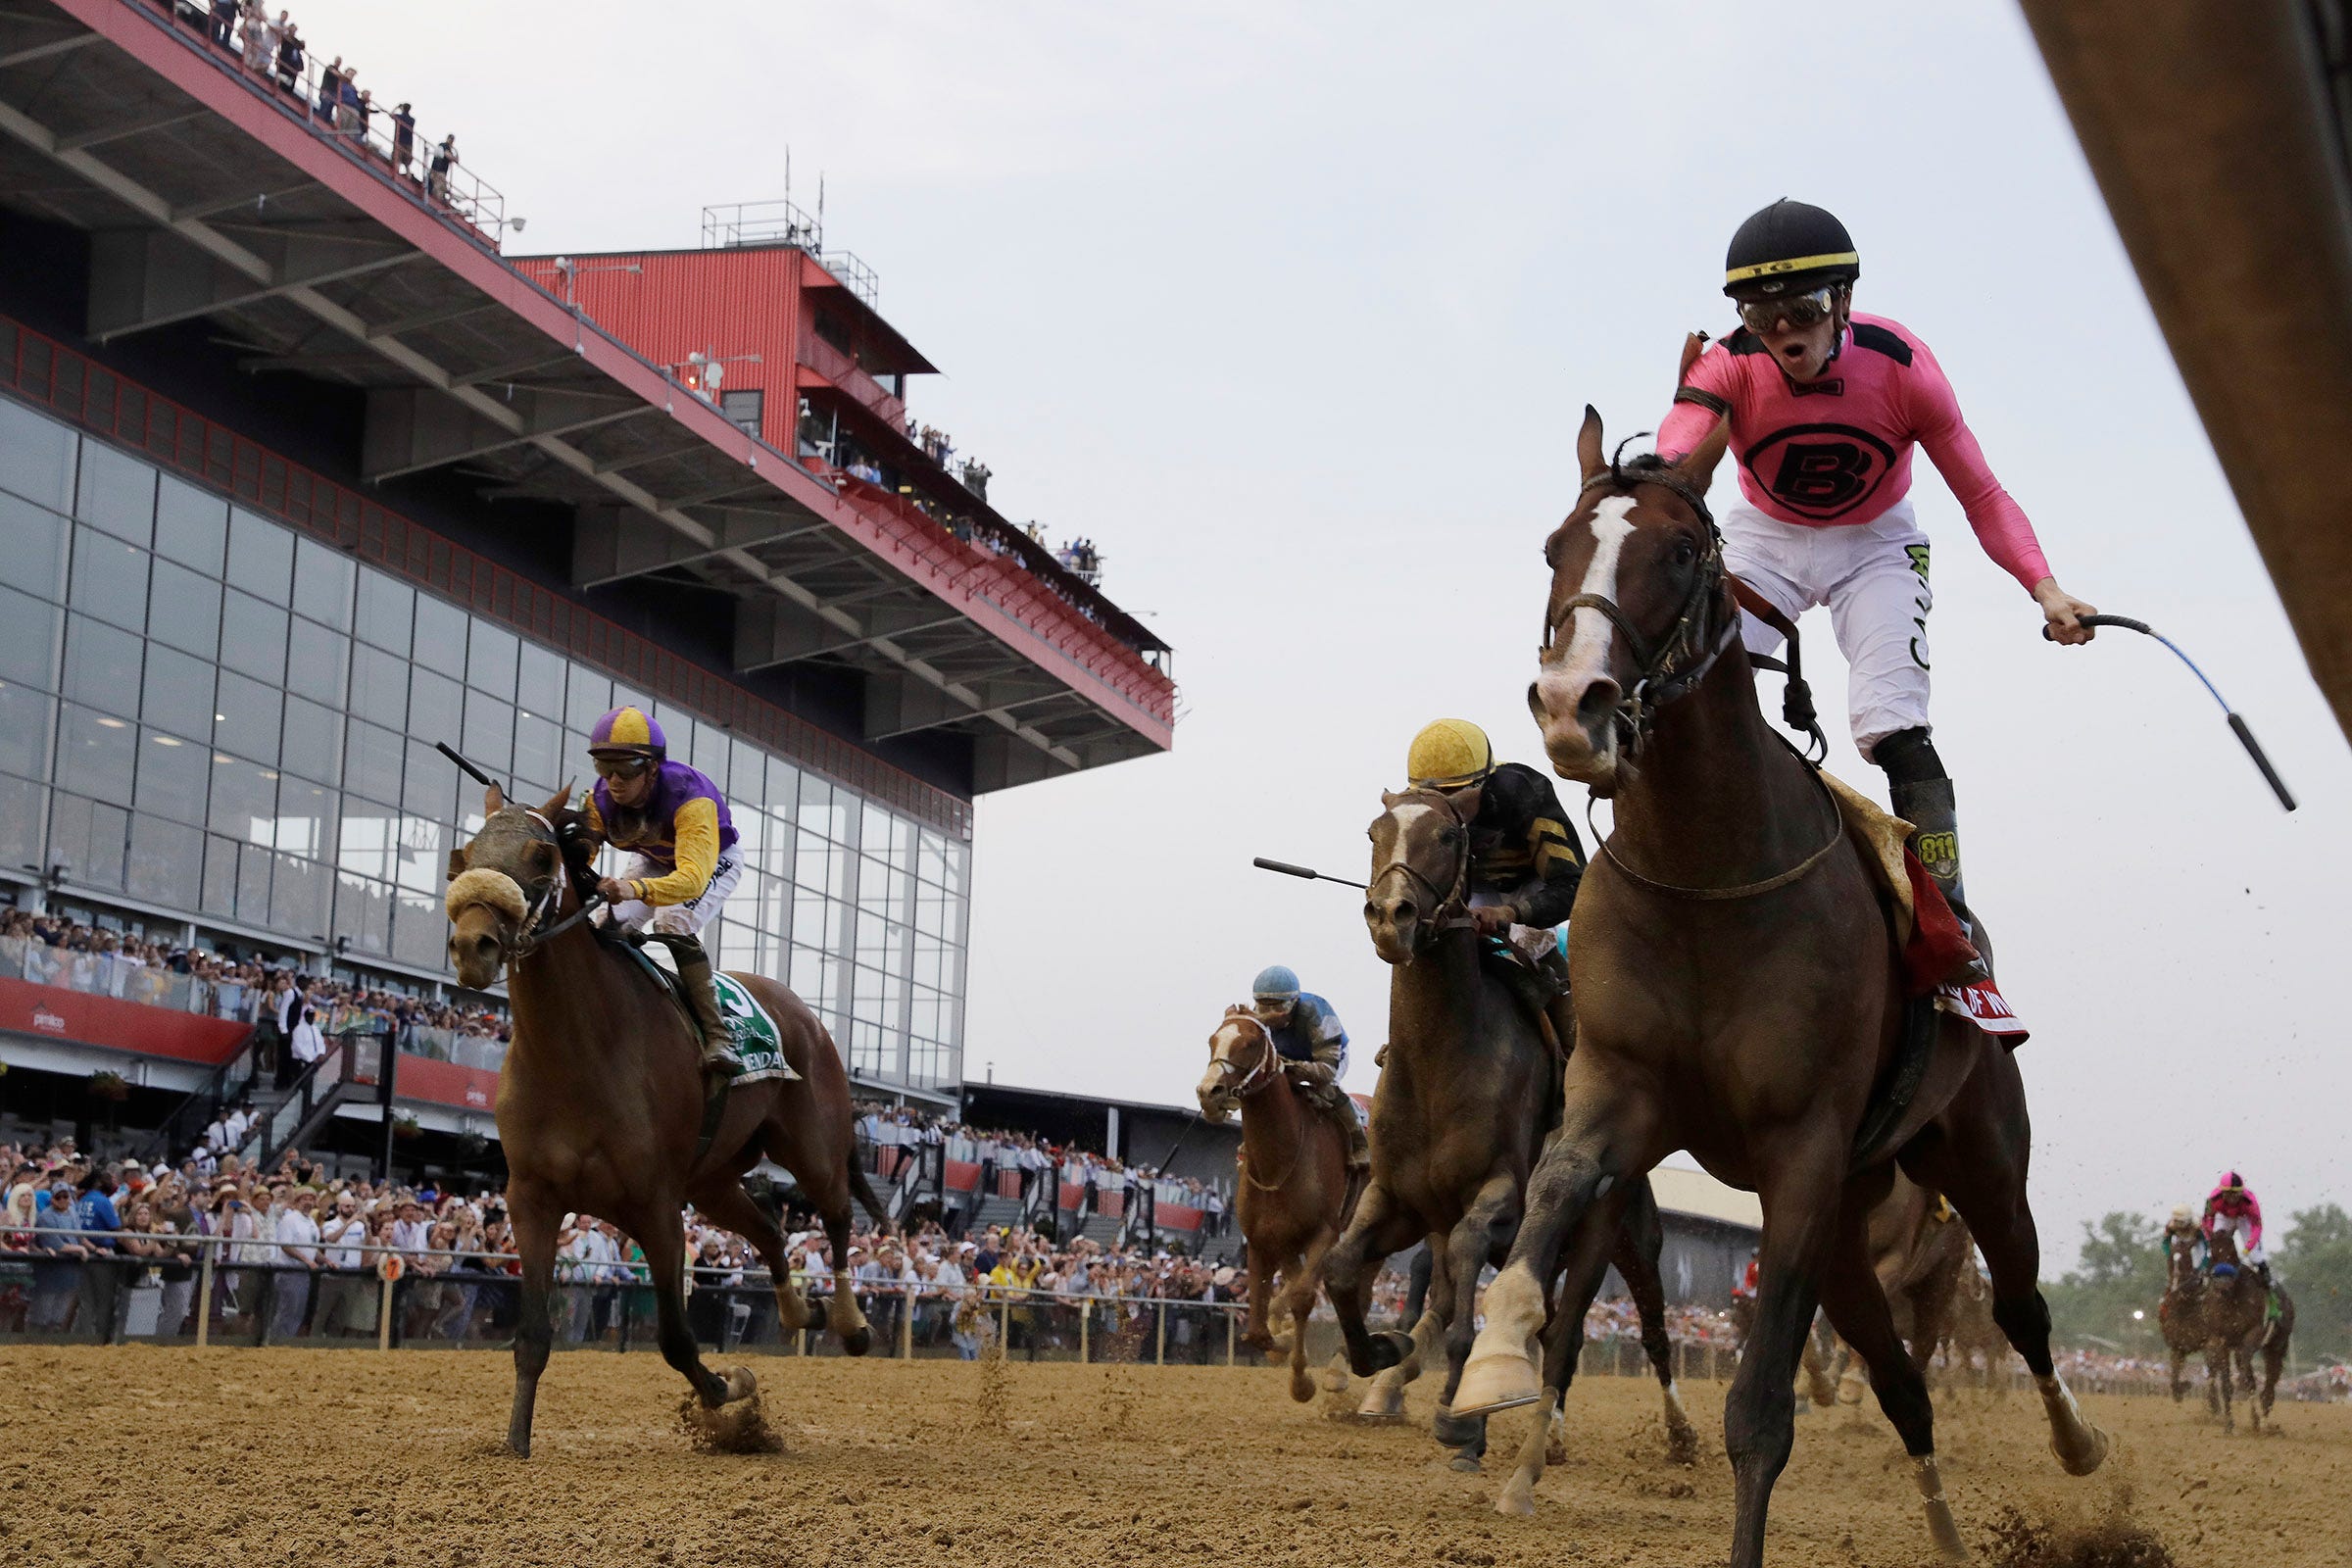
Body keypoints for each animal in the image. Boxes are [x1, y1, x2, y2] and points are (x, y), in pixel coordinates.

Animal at [442, 785, 884, 1457]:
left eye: (542, 857)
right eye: (463, 856)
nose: (473, 947)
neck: (578, 1054)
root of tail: (805, 1015)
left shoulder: (656, 1206)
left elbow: (677, 1338)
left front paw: (732, 1389)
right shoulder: (531, 1200)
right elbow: (532, 1334)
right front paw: (515, 1441)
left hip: (813, 1150)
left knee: (836, 1219)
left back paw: (849, 1321)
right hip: (713, 1182)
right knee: (771, 1229)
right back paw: (794, 1311)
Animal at [1195, 1010, 1364, 1400]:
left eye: (1251, 1042)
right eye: (1213, 1040)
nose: (1209, 1093)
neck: (1280, 1160)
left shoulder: (1325, 1233)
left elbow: (1302, 1297)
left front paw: (1301, 1380)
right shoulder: (1260, 1240)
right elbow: (1258, 1327)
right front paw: (1279, 1340)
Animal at [1448, 411, 2117, 1560]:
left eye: (1681, 551)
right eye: (1553, 549)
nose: (1573, 703)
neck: (1710, 875)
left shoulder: (1802, 1148)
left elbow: (1759, 1414)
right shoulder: (1622, 1092)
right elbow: (1556, 1191)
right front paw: (1497, 1361)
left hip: (1979, 1158)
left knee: (2022, 1308)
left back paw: (2077, 1444)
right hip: (1851, 1218)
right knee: (1900, 1382)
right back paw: (1946, 1532)